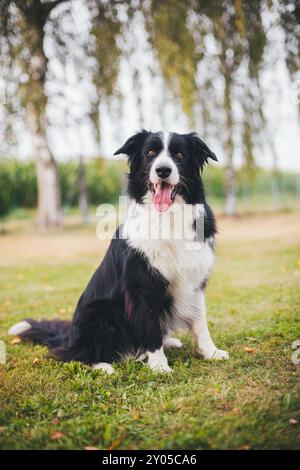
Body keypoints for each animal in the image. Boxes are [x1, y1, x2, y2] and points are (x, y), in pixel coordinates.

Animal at [9, 130, 230, 372]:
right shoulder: (141, 285)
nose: (163, 170)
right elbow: (150, 326)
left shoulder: (195, 279)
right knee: (75, 354)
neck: (167, 218)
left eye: (179, 155)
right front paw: (159, 366)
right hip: (99, 312)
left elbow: (200, 320)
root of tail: (69, 337)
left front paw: (211, 352)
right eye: (150, 153)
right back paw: (103, 365)